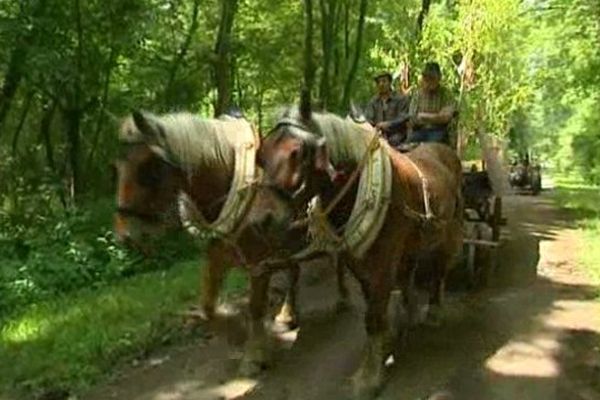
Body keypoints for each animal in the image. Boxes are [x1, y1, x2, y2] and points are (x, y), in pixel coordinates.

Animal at [112, 110, 350, 376]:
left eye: (148, 169)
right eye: (117, 167)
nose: (126, 236)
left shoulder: (259, 264)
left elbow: (255, 306)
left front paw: (253, 355)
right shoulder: (216, 258)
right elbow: (208, 308)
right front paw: (237, 336)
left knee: (339, 257)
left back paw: (342, 298)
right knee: (294, 270)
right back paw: (287, 315)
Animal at [258, 104, 464, 398]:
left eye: (298, 153)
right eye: (261, 156)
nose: (262, 220)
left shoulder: (383, 263)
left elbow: (373, 317)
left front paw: (369, 377)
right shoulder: (360, 262)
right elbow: (373, 310)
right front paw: (385, 343)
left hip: (448, 235)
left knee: (438, 270)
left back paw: (433, 311)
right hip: (411, 244)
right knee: (409, 274)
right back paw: (408, 313)